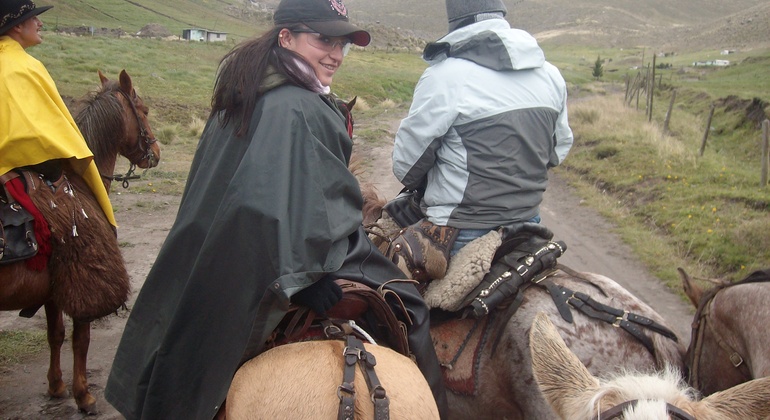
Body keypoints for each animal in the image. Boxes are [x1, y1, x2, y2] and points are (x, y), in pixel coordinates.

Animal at [0, 69, 159, 414]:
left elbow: (55, 334)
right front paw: (84, 395)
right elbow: (80, 339)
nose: (155, 153)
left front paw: (57, 385)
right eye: (143, 110)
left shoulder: (54, 288)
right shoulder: (86, 280)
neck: (78, 181)